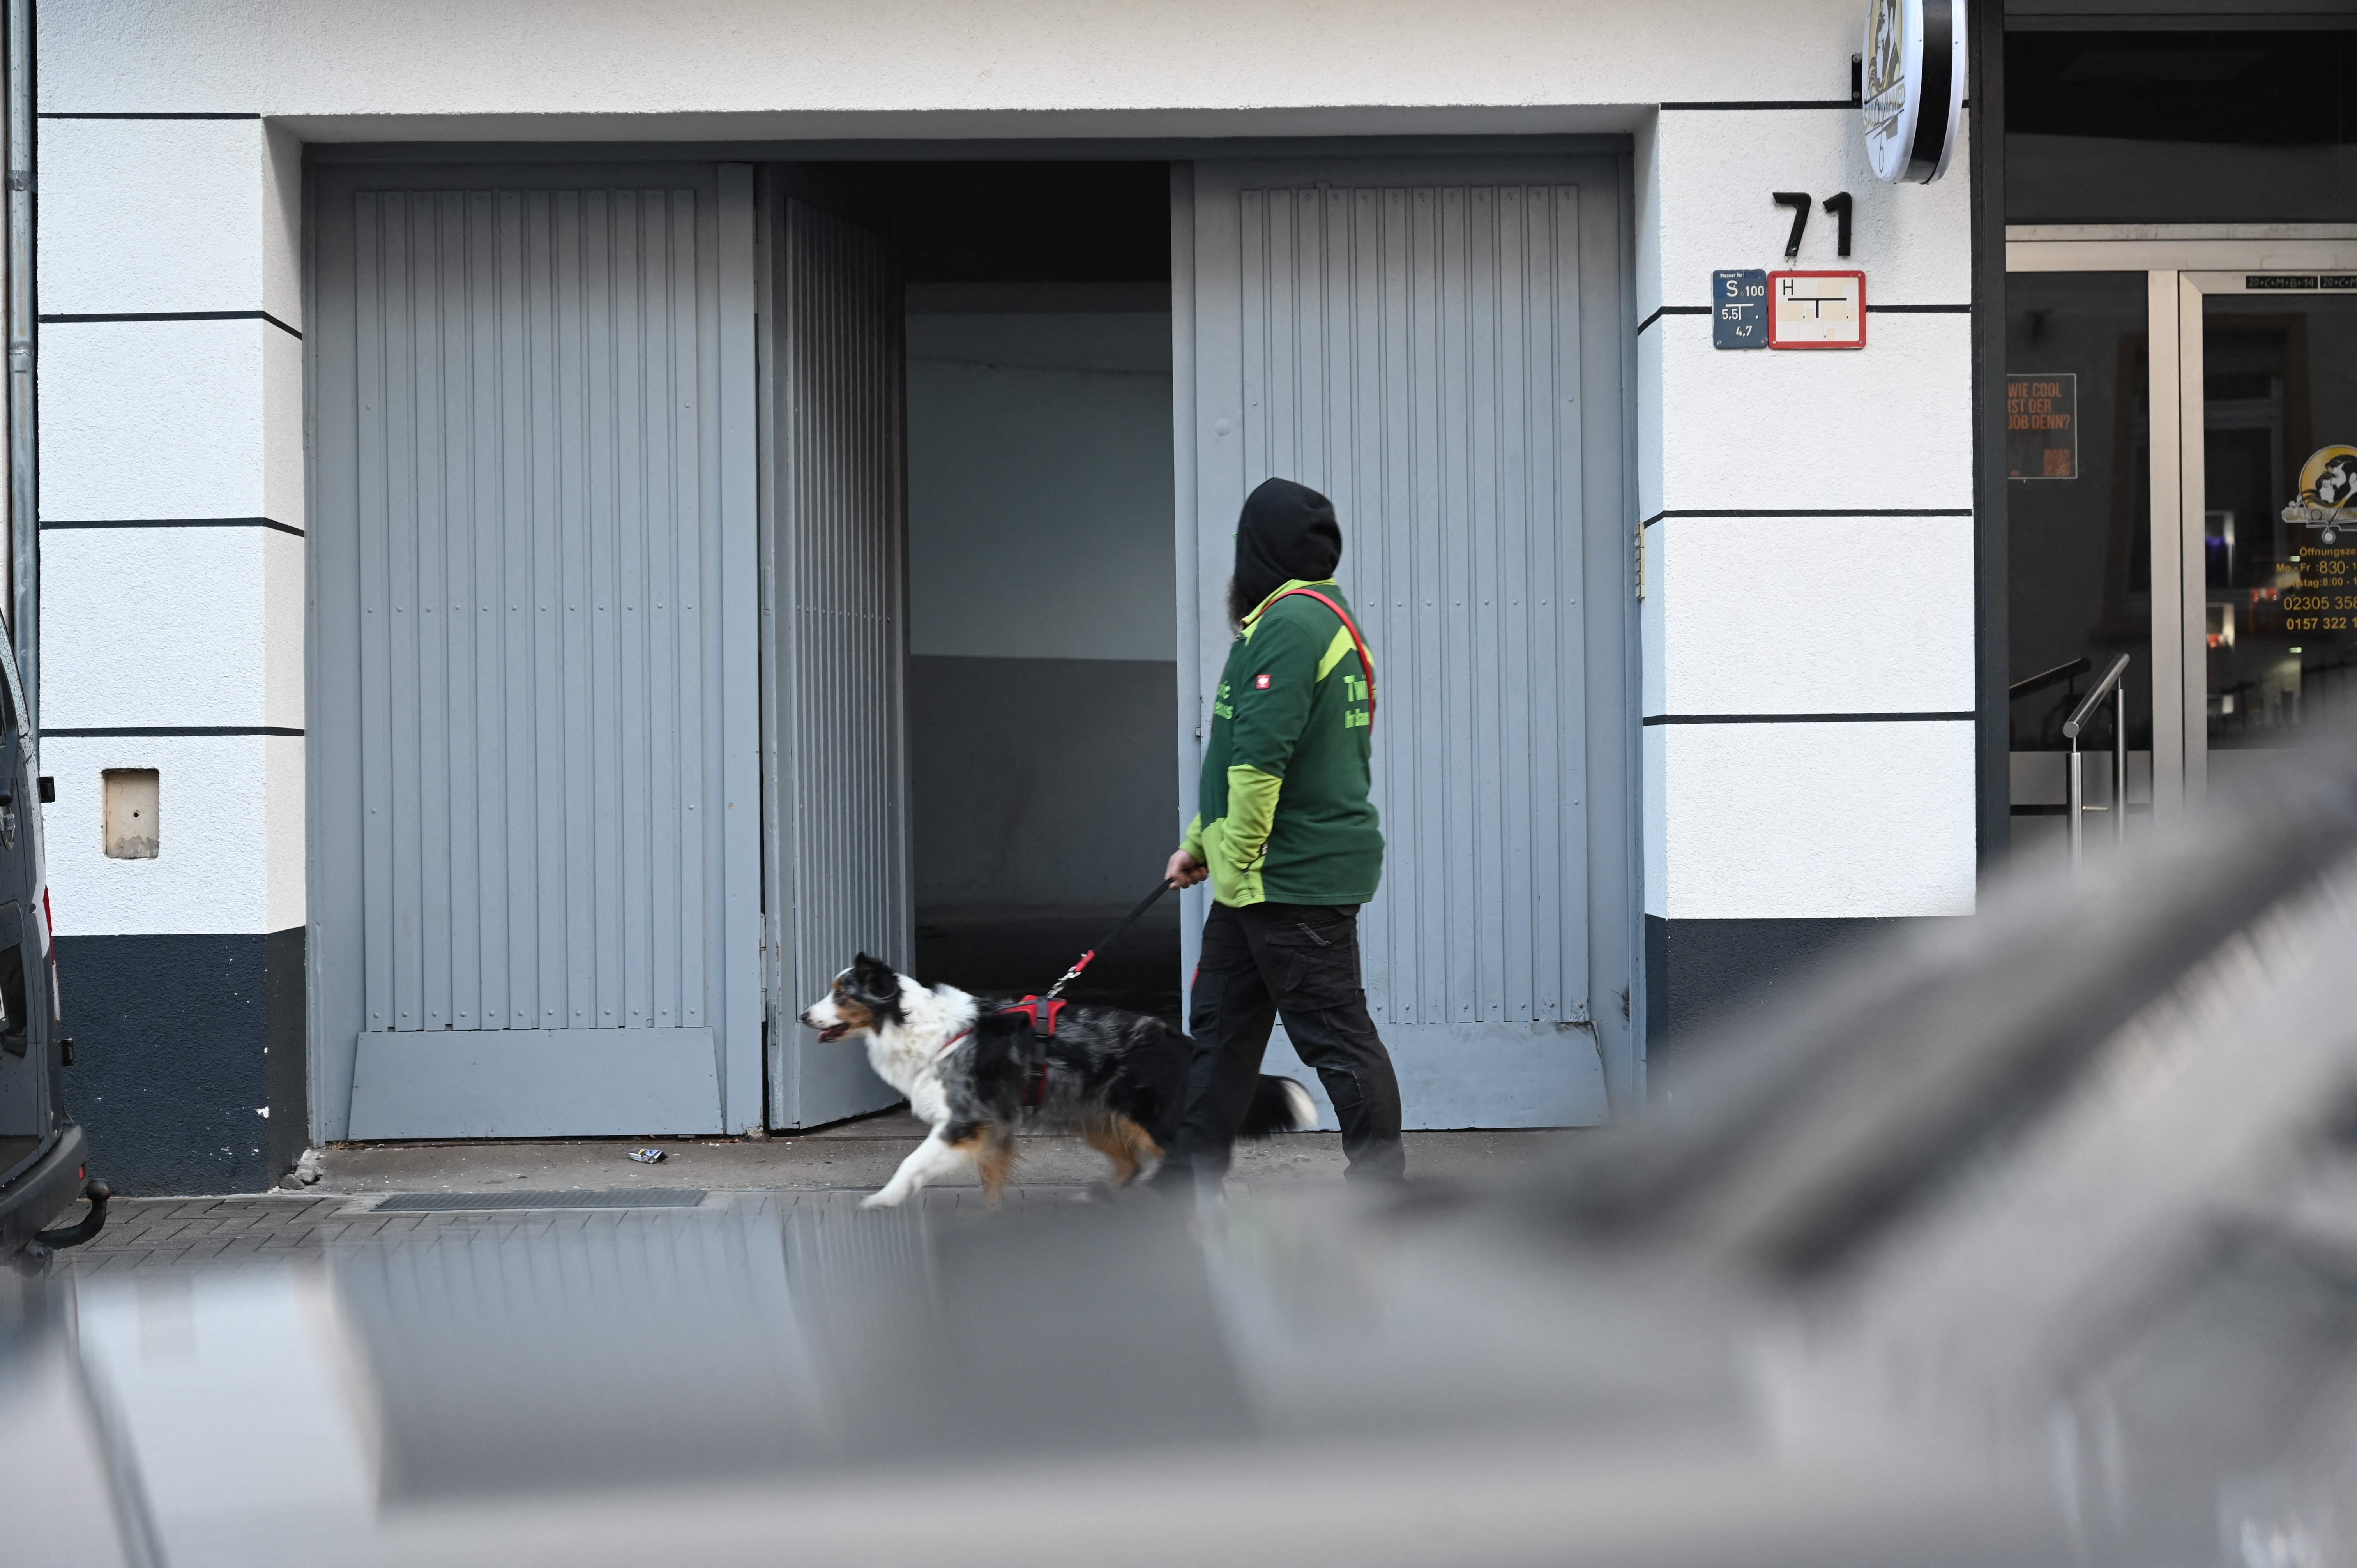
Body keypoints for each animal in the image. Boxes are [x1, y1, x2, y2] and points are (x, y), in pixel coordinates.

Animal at [806, 948, 1320, 1202]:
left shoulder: (964, 1122)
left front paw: (883, 1200)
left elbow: (911, 1163)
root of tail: (1182, 1040)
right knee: (1131, 1165)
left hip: (1150, 1119)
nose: (802, 1015)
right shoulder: (994, 1127)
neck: (912, 1022)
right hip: (1096, 1117)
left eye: (842, 994)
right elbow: (991, 1184)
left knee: (1195, 1160)